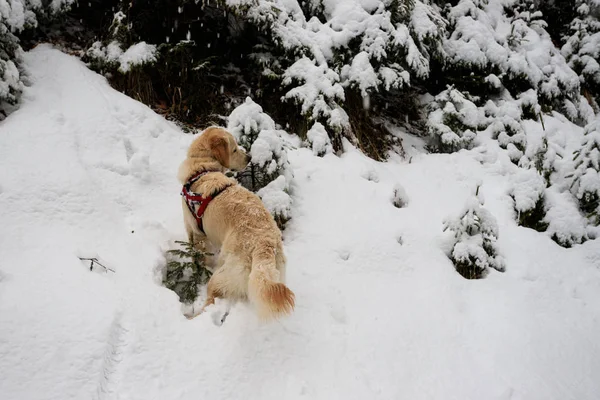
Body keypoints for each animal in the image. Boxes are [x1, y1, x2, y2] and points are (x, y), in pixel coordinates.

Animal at [176, 126, 296, 320]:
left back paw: (191, 317)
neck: (203, 169)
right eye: (234, 149)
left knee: (211, 301)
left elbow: (198, 257)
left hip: (221, 275)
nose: (249, 157)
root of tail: (265, 245)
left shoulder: (195, 230)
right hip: (272, 274)